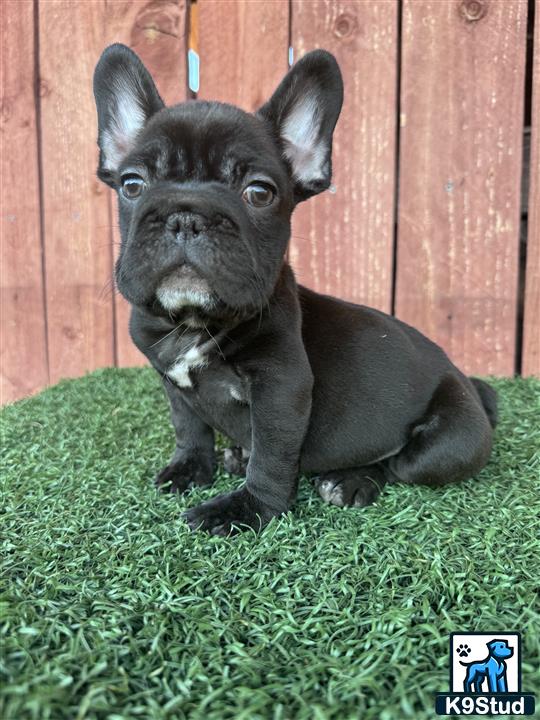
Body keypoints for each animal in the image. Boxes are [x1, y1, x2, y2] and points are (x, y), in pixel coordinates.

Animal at [93, 43, 498, 536]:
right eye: (132, 184)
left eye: (259, 193)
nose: (186, 215)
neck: (193, 321)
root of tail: (469, 385)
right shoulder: (172, 381)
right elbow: (189, 427)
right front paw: (191, 469)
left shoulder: (280, 388)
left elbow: (272, 455)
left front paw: (246, 510)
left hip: (446, 445)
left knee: (399, 463)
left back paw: (349, 481)